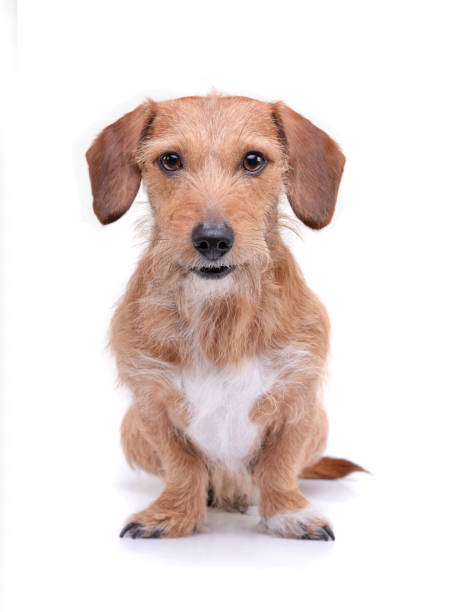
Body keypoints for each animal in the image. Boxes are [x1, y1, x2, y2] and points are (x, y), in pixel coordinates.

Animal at [86, 92, 362, 540]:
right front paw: (172, 513)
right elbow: (182, 465)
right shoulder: (150, 405)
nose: (212, 240)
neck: (220, 316)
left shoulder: (299, 400)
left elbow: (279, 466)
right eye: (170, 160)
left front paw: (289, 513)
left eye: (253, 160)